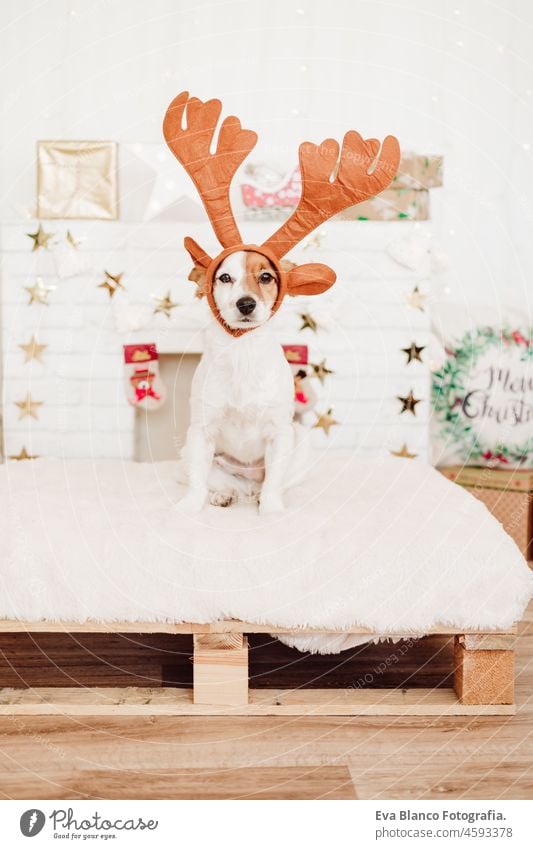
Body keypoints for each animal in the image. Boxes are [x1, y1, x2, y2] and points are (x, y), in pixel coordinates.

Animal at [178, 245, 310, 510]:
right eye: (225, 277)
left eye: (266, 277)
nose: (246, 304)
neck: (242, 352)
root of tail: (248, 483)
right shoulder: (201, 431)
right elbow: (197, 482)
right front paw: (189, 507)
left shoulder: (280, 433)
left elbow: (274, 482)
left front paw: (271, 510)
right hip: (187, 452)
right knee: (224, 484)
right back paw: (224, 495)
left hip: (301, 444)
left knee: (274, 484)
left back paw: (261, 496)